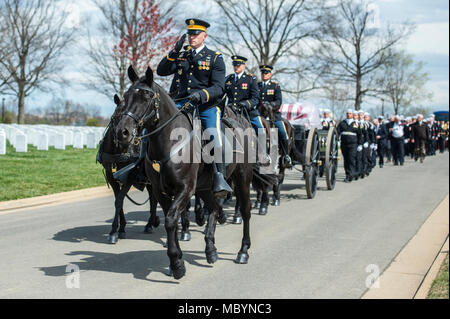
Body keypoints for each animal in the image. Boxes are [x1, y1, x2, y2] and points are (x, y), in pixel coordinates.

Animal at [115, 65, 256, 280]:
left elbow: (171, 220)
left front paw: (176, 263)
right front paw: (177, 260)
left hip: (242, 178)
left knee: (246, 211)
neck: (170, 141)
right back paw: (210, 250)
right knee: (213, 208)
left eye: (146, 96)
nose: (122, 132)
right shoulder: (161, 191)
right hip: (205, 186)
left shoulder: (185, 189)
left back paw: (243, 251)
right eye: (126, 96)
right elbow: (171, 221)